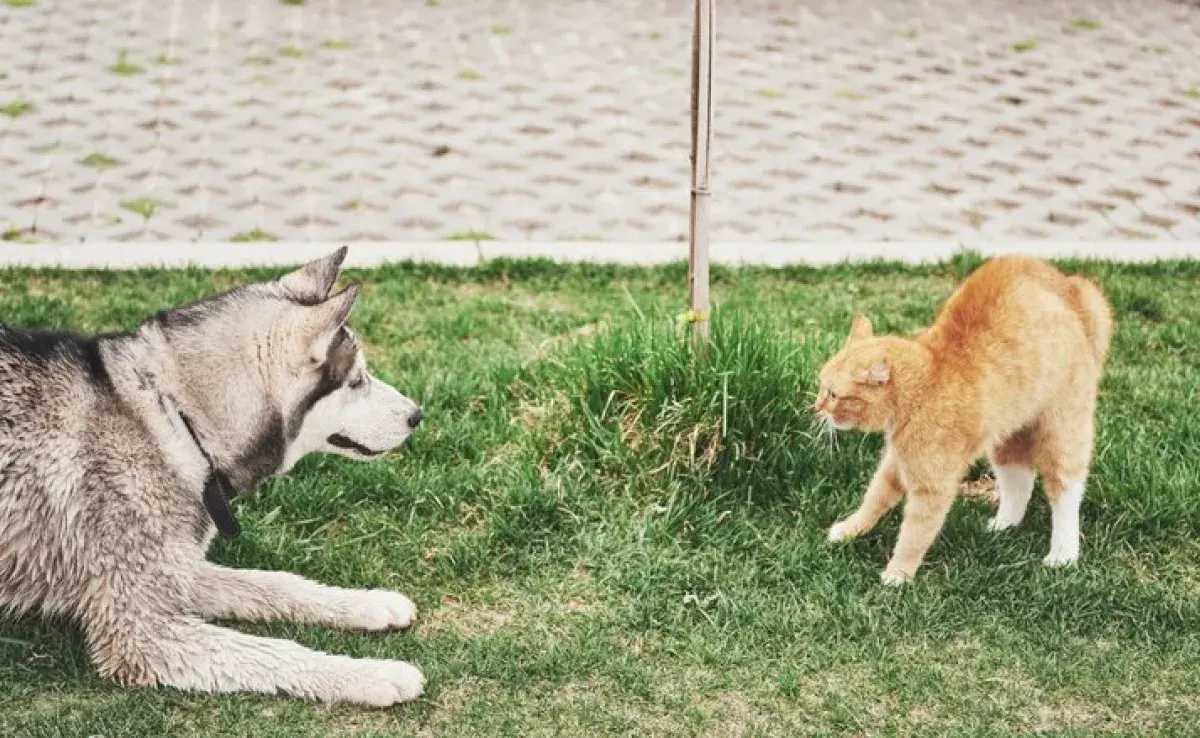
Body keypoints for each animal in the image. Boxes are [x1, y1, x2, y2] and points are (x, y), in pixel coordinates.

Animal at [0, 249, 427, 710]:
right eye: (356, 381)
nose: (417, 415)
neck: (177, 422)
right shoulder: (140, 632)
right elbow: (272, 653)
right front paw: (372, 673)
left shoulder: (178, 569)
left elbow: (274, 584)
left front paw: (367, 603)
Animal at [820, 256, 1108, 585]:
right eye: (821, 386)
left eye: (833, 394)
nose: (816, 407)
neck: (927, 382)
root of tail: (1070, 286)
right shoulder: (896, 465)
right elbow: (874, 499)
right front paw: (850, 529)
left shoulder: (932, 487)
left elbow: (914, 535)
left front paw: (898, 574)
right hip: (1010, 434)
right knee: (1019, 479)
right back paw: (1004, 525)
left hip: (1063, 431)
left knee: (1066, 491)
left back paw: (1063, 556)